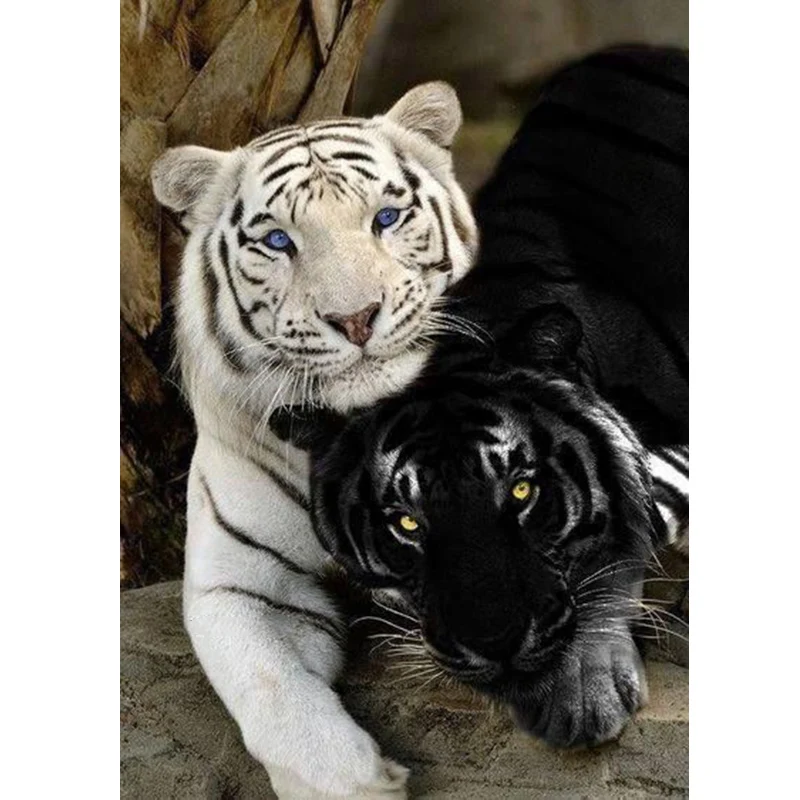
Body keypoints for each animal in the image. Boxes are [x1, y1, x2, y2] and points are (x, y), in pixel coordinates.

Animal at [149, 82, 478, 799]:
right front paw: (355, 781)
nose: (355, 317)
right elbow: (269, 686)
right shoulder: (240, 582)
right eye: (278, 240)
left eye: (386, 217)